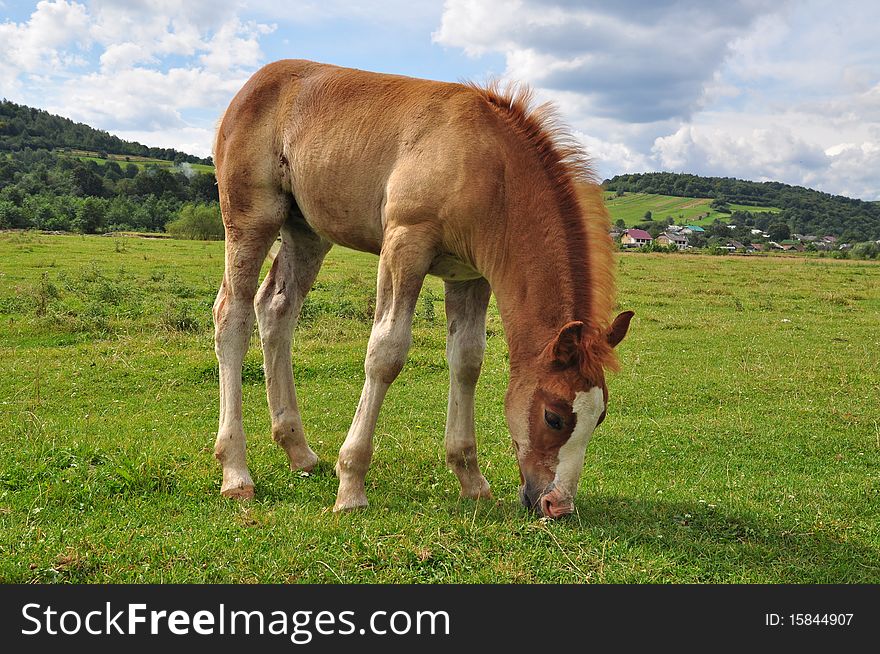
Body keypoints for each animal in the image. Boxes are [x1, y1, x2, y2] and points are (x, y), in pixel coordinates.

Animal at [210, 62, 628, 524]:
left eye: (601, 416)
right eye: (554, 417)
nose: (558, 505)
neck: (490, 166)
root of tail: (254, 83)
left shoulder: (469, 276)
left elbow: (467, 361)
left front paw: (471, 480)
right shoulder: (404, 244)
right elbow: (386, 353)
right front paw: (351, 485)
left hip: (306, 232)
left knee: (275, 309)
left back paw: (298, 450)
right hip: (251, 219)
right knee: (232, 316)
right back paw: (236, 473)